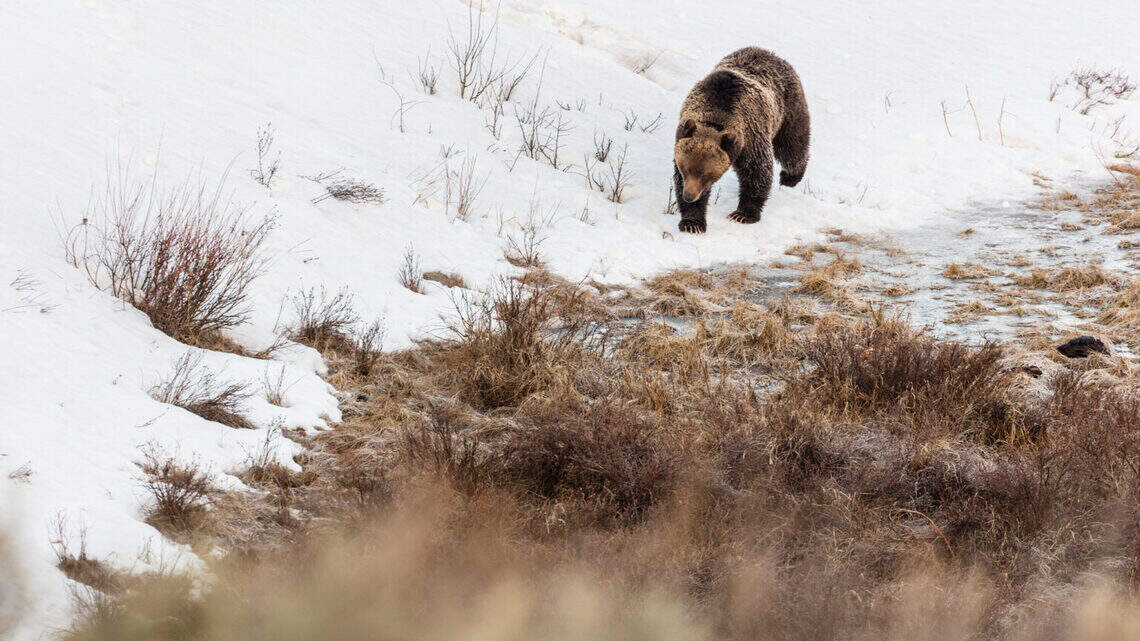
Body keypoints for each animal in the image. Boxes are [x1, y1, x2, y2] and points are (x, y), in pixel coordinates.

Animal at [673, 47, 810, 234]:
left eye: (707, 175)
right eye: (685, 169)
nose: (690, 196)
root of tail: (770, 53)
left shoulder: (751, 136)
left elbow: (757, 172)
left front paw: (742, 214)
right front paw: (692, 222)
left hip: (788, 111)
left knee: (792, 146)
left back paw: (790, 177)